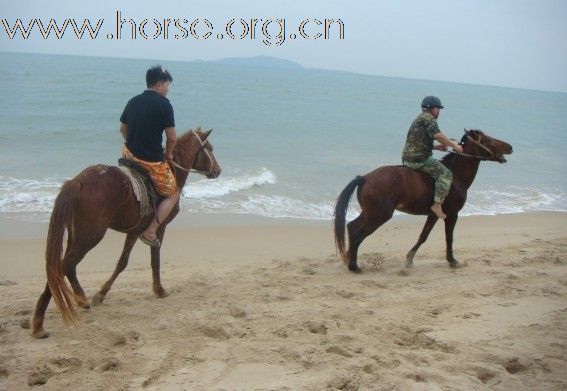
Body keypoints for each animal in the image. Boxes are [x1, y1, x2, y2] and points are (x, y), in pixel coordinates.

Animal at [30, 129, 222, 340]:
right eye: (210, 148)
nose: (218, 170)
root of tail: (77, 182)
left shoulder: (134, 231)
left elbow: (124, 262)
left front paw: (102, 294)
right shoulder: (155, 229)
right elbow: (149, 260)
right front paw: (158, 290)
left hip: (77, 233)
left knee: (69, 265)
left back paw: (81, 299)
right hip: (90, 236)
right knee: (63, 267)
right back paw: (39, 322)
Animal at [336, 130, 512, 274]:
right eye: (487, 139)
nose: (510, 147)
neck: (456, 176)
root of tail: (364, 178)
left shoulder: (433, 215)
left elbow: (423, 236)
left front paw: (409, 260)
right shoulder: (452, 215)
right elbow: (449, 237)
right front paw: (452, 261)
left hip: (370, 214)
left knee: (352, 227)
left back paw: (350, 261)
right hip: (378, 216)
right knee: (357, 234)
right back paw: (354, 267)